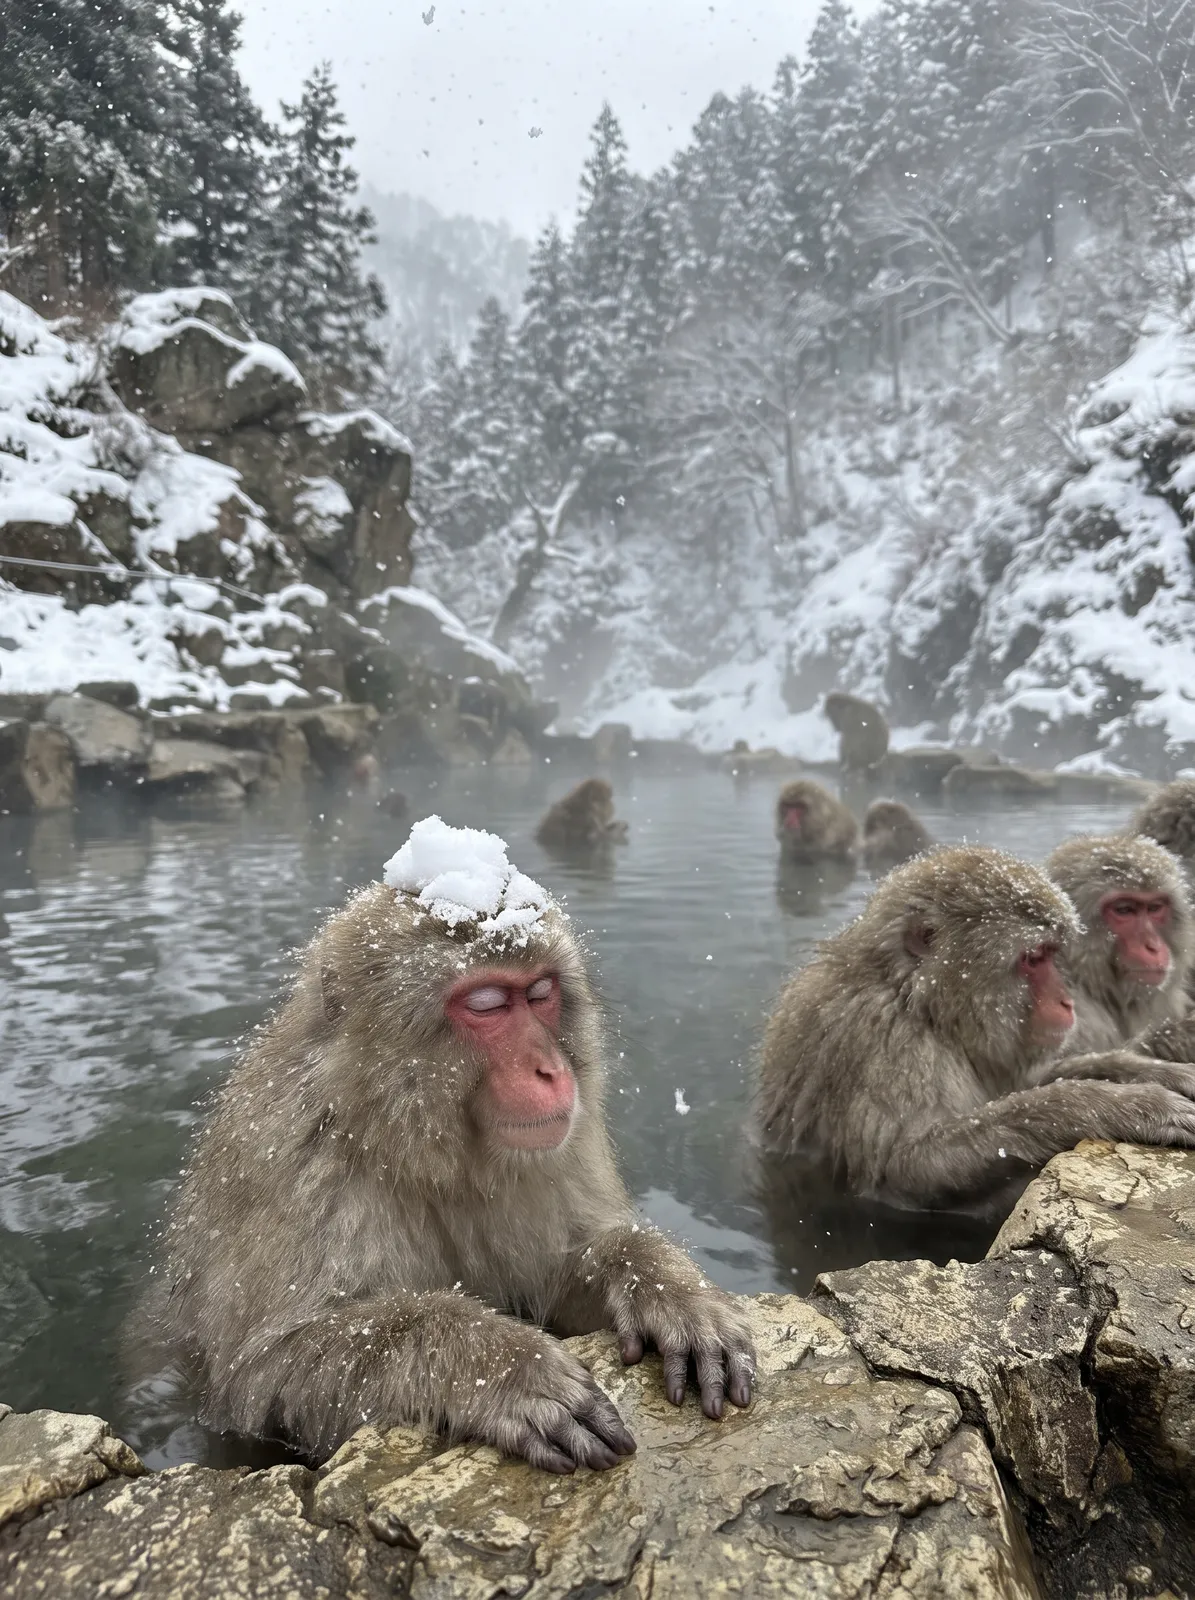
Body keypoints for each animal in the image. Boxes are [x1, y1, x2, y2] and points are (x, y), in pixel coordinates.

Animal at [152, 817, 754, 1471]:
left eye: (539, 992)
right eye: (487, 1005)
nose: (551, 1069)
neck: (405, 1142)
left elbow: (558, 1277)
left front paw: (662, 1282)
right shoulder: (295, 1172)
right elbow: (268, 1372)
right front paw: (503, 1366)